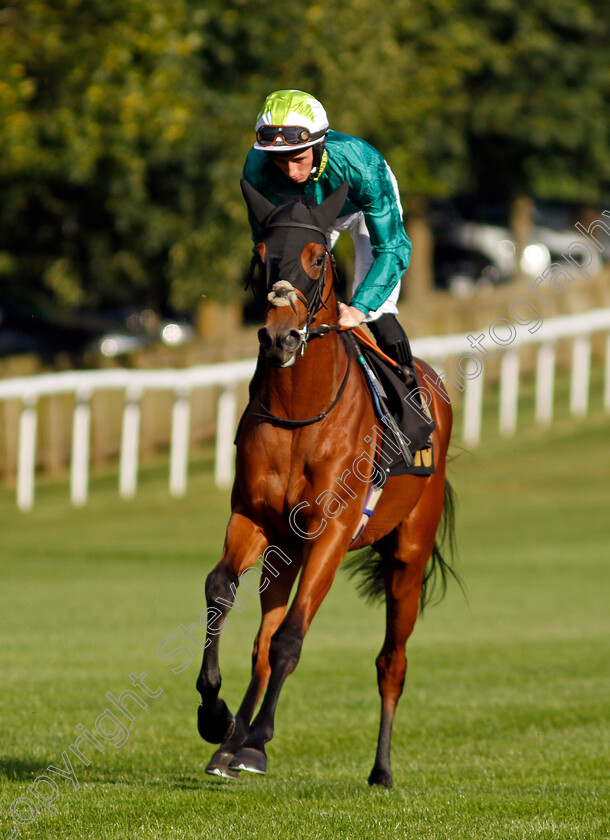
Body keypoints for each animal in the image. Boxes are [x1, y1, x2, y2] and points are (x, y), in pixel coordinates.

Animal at [195, 179, 456, 788]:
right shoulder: (254, 517)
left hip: (408, 555)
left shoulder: (332, 532)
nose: (280, 338)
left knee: (391, 661)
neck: (301, 412)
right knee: (261, 643)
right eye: (261, 255)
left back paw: (380, 770)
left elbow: (293, 637)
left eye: (317, 257)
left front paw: (258, 741)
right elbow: (221, 591)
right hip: (285, 552)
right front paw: (217, 718)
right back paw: (230, 745)